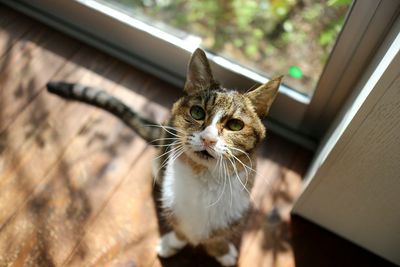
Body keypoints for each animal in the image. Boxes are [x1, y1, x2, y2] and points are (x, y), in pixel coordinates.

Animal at [47, 48, 282, 266]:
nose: (208, 139)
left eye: (235, 125)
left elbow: (217, 234)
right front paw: (173, 242)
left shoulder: (236, 208)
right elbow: (179, 226)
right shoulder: (171, 199)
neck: (203, 178)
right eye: (197, 112)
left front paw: (222, 250)